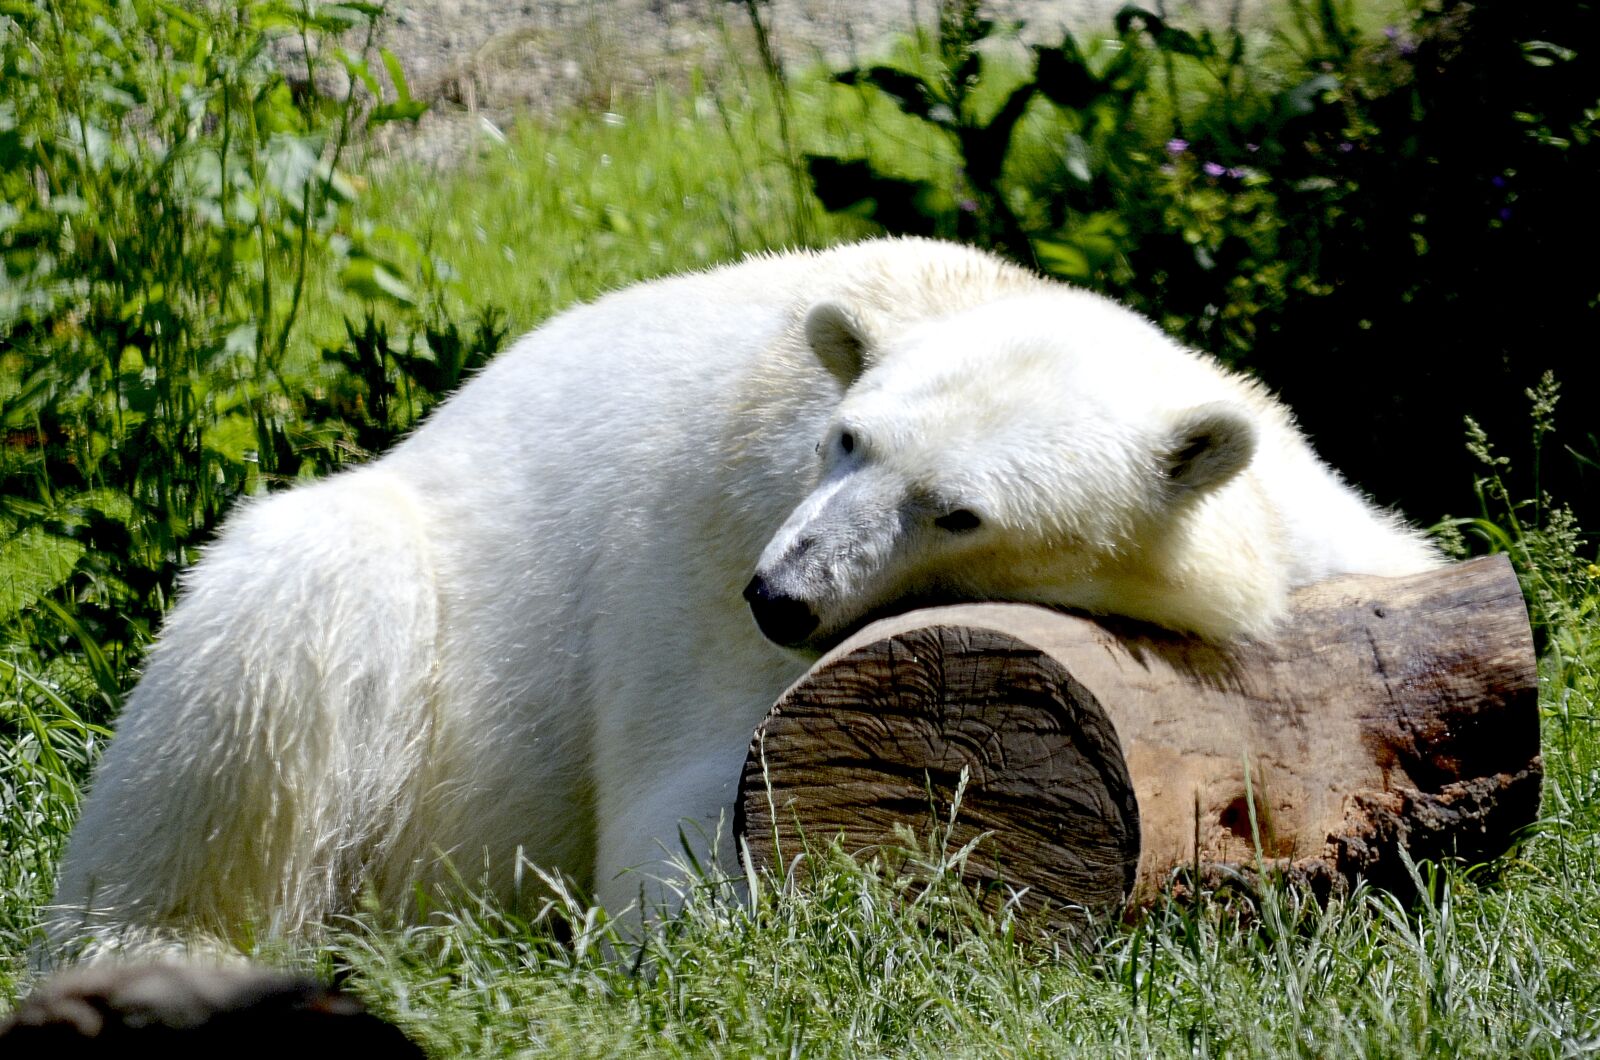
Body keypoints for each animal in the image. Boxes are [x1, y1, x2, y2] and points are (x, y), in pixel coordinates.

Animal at [48, 237, 1439, 948]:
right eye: (847, 440)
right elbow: (686, 817)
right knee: (290, 625)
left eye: (960, 510)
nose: (779, 595)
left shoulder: (1313, 527)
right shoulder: (709, 547)